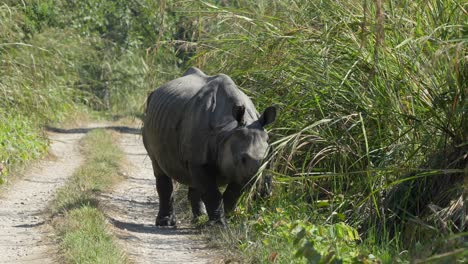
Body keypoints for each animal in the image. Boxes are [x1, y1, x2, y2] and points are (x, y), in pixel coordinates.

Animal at [142, 66, 274, 225]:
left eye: (268, 158)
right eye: (243, 158)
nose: (264, 191)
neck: (228, 131)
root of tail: (155, 91)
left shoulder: (240, 170)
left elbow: (233, 194)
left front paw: (227, 218)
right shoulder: (204, 161)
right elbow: (212, 193)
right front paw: (219, 225)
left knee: (193, 179)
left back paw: (199, 218)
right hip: (151, 116)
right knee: (159, 167)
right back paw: (166, 223)